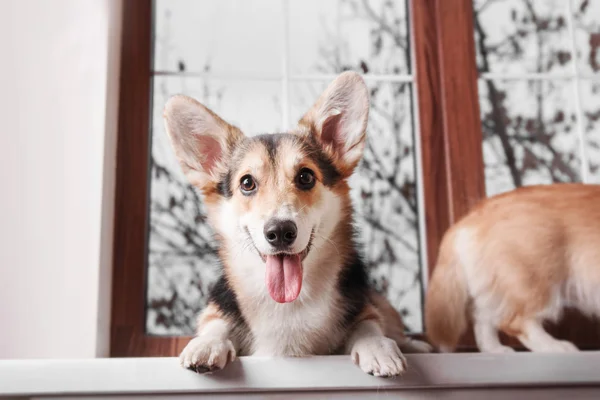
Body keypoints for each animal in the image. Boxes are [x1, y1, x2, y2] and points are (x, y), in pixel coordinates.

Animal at [164, 71, 432, 376]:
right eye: (247, 183)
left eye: (305, 176)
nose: (280, 232)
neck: (289, 303)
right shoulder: (219, 309)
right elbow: (216, 323)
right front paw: (206, 344)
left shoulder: (363, 308)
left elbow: (368, 324)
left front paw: (378, 347)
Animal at [426, 184, 600, 354]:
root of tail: (473, 215)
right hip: (536, 280)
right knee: (516, 322)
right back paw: (554, 347)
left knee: (482, 318)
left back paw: (495, 349)